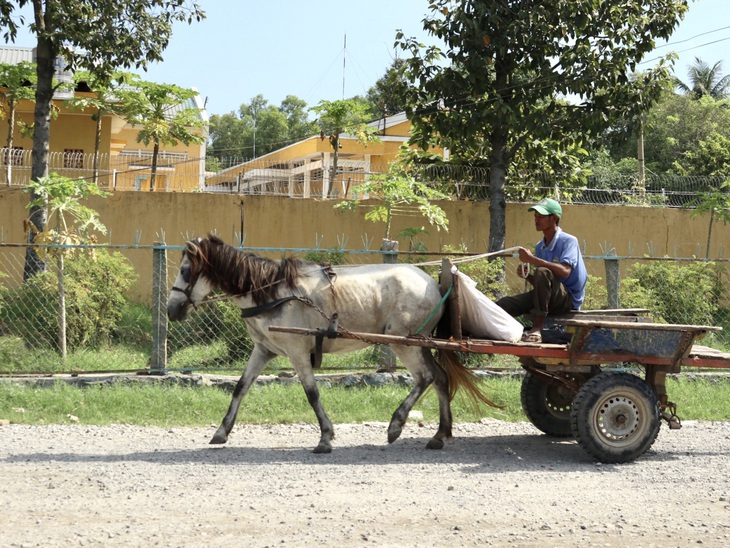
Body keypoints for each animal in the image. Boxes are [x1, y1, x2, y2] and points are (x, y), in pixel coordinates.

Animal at [166, 235, 490, 454]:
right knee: (441, 378)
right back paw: (439, 435)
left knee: (424, 378)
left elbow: (312, 393)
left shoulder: (297, 351)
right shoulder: (264, 350)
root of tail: (433, 283)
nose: (171, 310)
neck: (271, 292)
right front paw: (222, 431)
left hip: (405, 344)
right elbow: (241, 387)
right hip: (421, 344)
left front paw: (325, 437)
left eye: (185, 271)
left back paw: (396, 426)